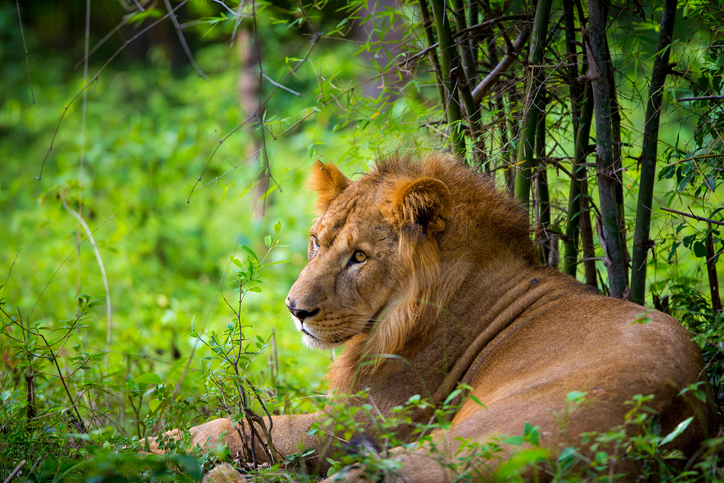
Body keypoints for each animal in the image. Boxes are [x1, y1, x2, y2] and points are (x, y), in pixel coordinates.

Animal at [151, 155, 712, 483]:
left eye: (359, 257)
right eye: (316, 241)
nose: (295, 309)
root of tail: (660, 425)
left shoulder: (369, 420)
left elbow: (246, 427)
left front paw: (153, 444)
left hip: (476, 437)